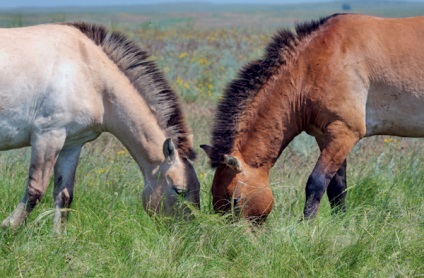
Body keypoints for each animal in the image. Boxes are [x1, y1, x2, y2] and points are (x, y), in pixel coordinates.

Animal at [0, 21, 200, 231]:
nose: (188, 232)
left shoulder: (71, 145)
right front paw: (8, 227)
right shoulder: (47, 138)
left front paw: (57, 235)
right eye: (180, 191)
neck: (90, 74)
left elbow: (64, 195)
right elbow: (35, 190)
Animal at [201, 13, 424, 222]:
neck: (316, 64)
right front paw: (340, 223)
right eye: (214, 196)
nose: (232, 235)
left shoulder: (345, 132)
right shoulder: (325, 135)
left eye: (235, 200)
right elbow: (337, 186)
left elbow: (316, 182)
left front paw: (305, 225)